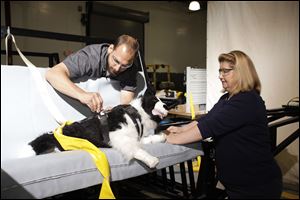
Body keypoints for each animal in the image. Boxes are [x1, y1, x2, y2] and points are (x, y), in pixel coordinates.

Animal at [29, 89, 169, 167]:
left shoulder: (134, 137)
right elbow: (136, 150)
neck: (136, 114)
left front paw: (160, 137)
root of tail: (55, 133)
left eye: (163, 102)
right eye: (155, 101)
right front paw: (151, 160)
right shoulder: (118, 137)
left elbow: (146, 140)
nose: (167, 105)